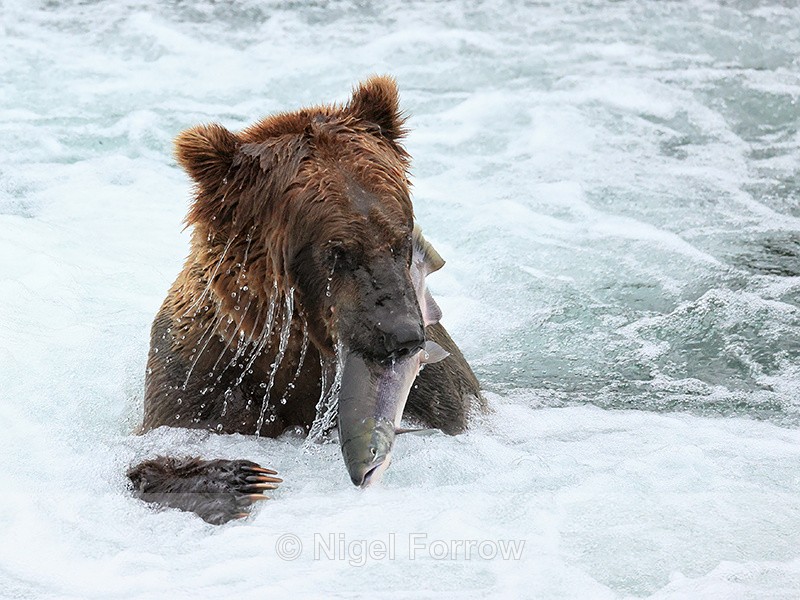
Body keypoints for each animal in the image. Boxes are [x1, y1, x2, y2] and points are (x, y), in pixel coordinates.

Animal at [127, 76, 484, 525]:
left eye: (400, 238)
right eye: (337, 251)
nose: (402, 333)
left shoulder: (440, 389)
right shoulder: (201, 369)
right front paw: (241, 479)